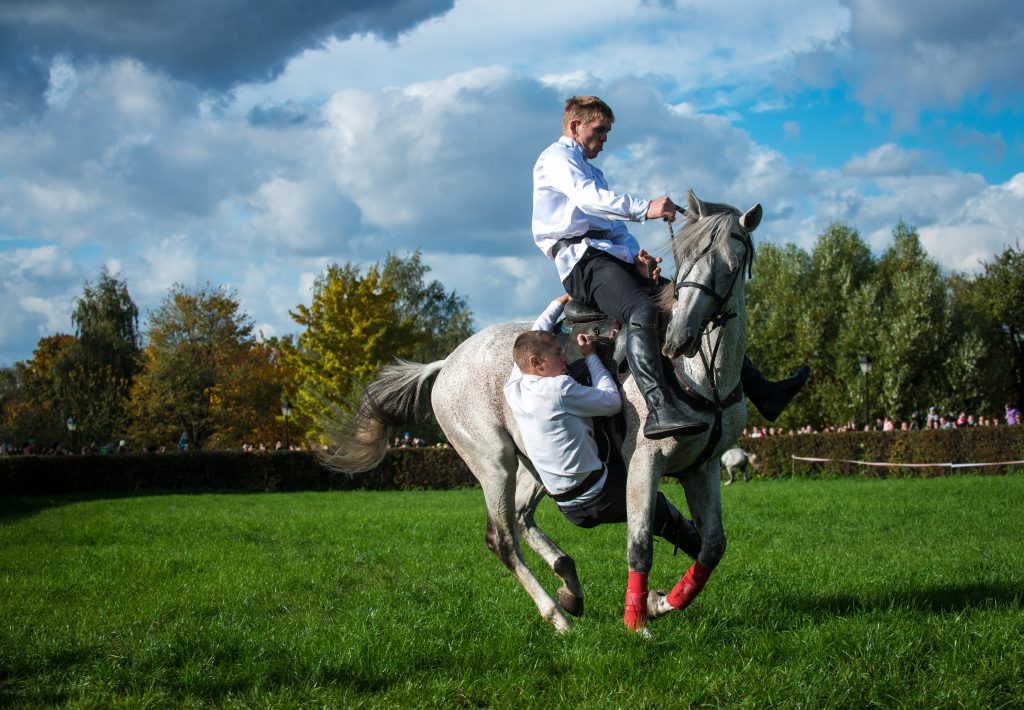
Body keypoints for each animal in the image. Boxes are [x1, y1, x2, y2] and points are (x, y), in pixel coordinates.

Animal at [323, 189, 765, 631]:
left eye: (732, 265)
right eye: (684, 257)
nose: (677, 340)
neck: (700, 377)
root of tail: (446, 363)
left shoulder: (702, 468)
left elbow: (710, 544)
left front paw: (661, 602)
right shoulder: (644, 463)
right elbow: (640, 545)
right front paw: (638, 622)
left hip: (535, 467)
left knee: (522, 517)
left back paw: (568, 583)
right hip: (494, 464)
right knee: (501, 537)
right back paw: (556, 614)